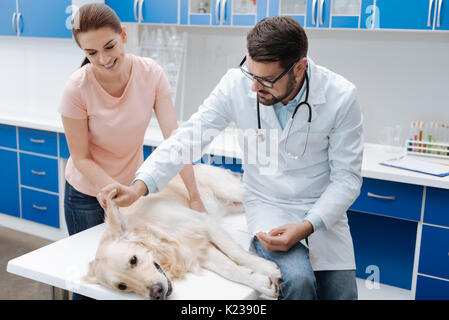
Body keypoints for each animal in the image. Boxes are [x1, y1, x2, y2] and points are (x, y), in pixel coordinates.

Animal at [83, 165, 280, 300]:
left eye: (133, 260)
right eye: (122, 286)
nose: (156, 293)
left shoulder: (203, 223)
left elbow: (235, 252)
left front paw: (267, 268)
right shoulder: (197, 250)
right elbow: (229, 269)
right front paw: (262, 282)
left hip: (231, 192)